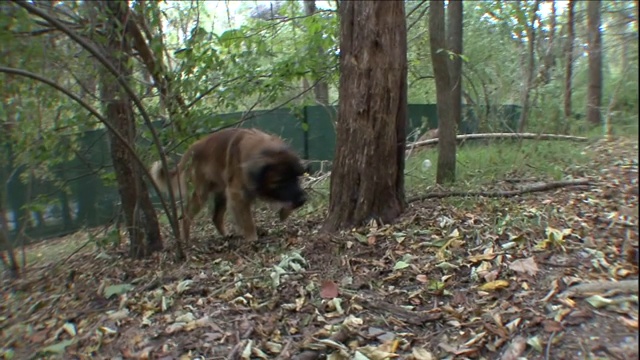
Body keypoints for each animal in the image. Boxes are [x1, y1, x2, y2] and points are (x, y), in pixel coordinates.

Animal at [151, 128, 310, 243]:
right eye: (281, 181)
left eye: (296, 177)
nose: (303, 199)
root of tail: (192, 148)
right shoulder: (237, 193)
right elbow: (246, 219)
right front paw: (252, 237)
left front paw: (284, 213)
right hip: (201, 193)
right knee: (186, 215)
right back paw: (186, 240)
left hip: (221, 193)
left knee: (216, 217)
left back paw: (226, 235)